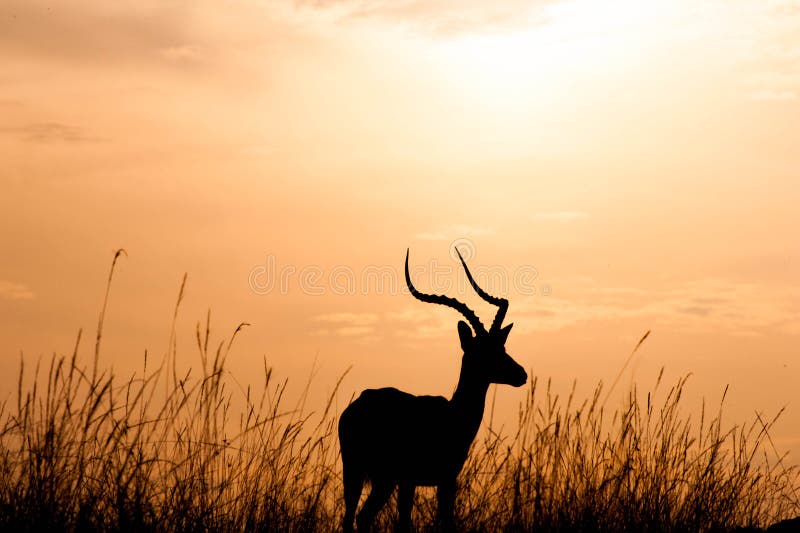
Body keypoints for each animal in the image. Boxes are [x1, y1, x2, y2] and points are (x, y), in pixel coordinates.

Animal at [336, 249, 528, 532]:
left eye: (501, 346)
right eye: (483, 351)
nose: (521, 374)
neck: (453, 417)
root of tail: (356, 406)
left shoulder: (435, 480)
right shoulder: (421, 479)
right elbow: (413, 523)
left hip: (373, 476)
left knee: (360, 517)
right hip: (364, 473)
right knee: (354, 517)